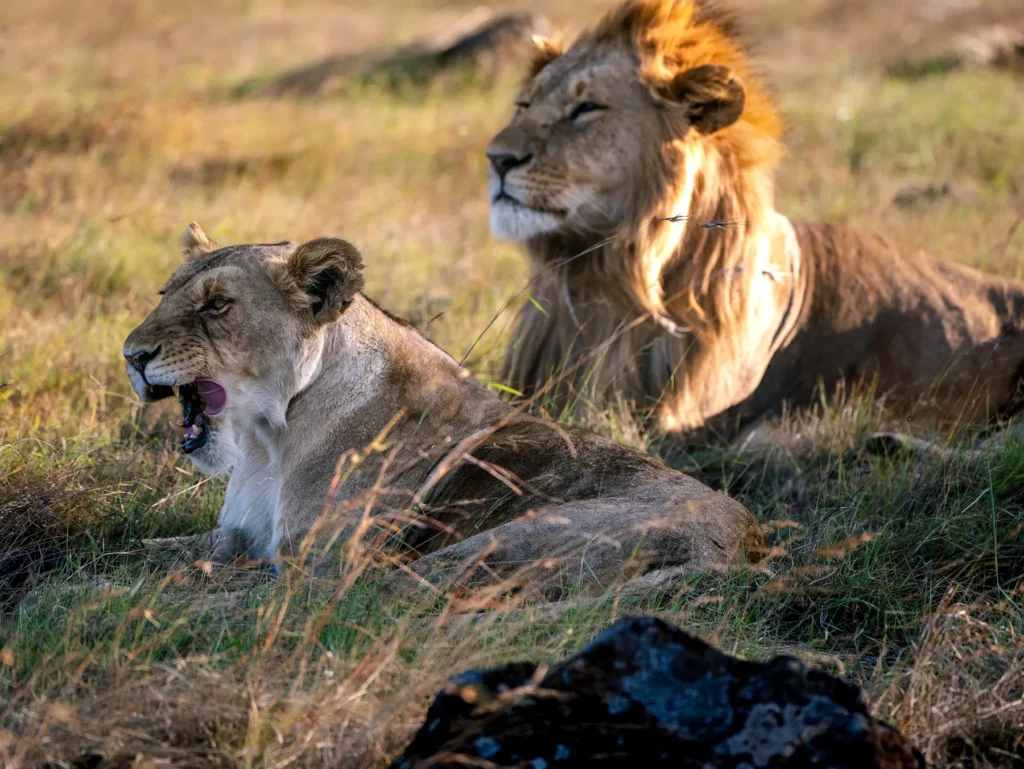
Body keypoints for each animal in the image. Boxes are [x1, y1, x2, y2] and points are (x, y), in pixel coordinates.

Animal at [122, 223, 762, 592]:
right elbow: (141, 547)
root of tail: (738, 549)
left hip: (490, 545)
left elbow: (202, 577)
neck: (266, 439)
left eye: (217, 306)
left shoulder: (314, 561)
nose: (132, 355)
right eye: (164, 294)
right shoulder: (235, 537)